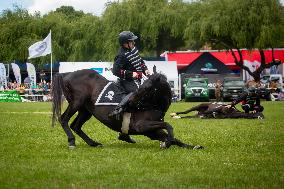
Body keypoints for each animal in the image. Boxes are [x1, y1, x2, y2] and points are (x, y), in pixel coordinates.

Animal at [51, 69, 202, 149]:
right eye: (143, 86)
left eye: (148, 87)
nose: (130, 102)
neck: (151, 105)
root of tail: (67, 73)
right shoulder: (142, 126)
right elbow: (168, 126)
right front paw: (167, 143)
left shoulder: (152, 132)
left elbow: (175, 138)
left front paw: (193, 146)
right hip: (76, 103)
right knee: (63, 119)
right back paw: (71, 141)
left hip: (85, 111)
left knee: (75, 125)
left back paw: (93, 143)